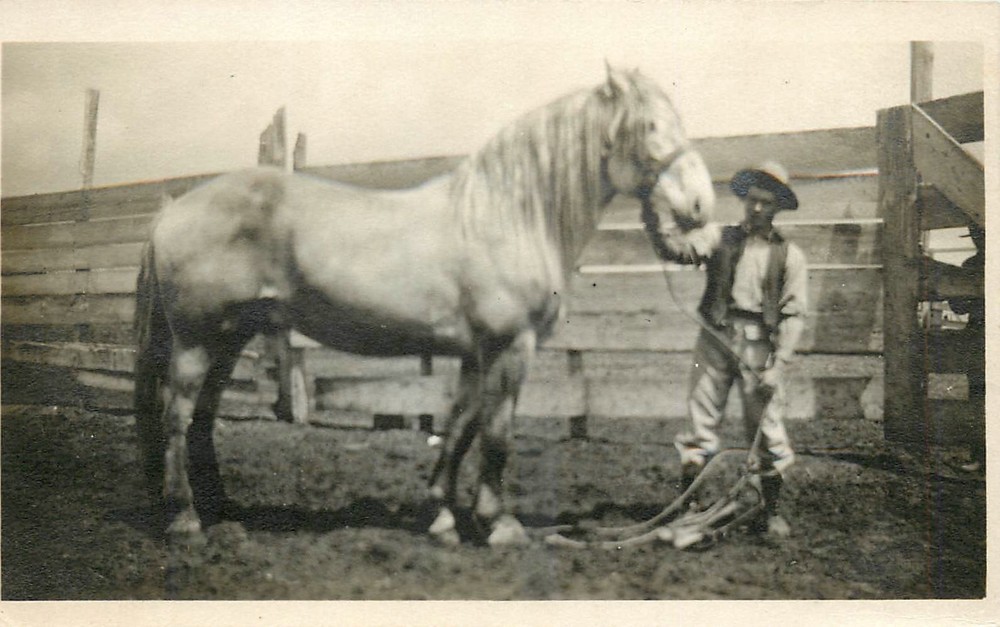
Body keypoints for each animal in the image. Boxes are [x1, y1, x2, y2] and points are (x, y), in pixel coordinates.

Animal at [133, 64, 715, 547]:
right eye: (650, 126)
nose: (700, 207)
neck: (508, 218)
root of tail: (171, 210)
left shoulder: (476, 353)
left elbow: (458, 429)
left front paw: (441, 518)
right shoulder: (510, 347)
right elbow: (496, 434)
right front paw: (499, 524)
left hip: (230, 337)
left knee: (202, 420)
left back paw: (222, 512)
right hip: (196, 340)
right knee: (176, 415)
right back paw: (185, 520)